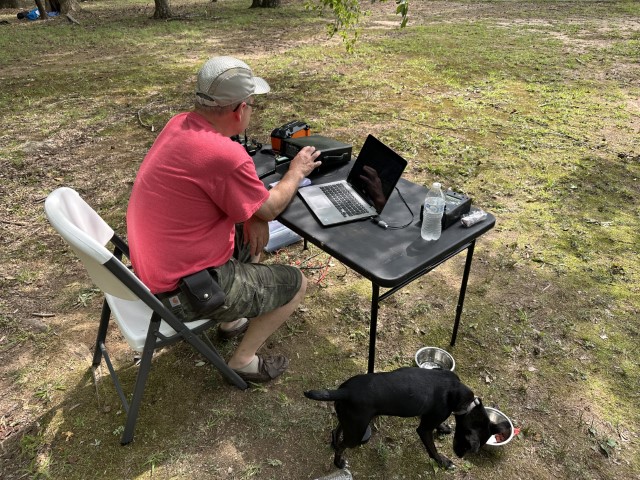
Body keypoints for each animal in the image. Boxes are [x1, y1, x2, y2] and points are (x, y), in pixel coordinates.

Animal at [304, 368, 510, 468]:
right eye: (467, 445)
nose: (460, 456)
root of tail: (344, 391)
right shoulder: (424, 429)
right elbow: (432, 450)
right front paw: (443, 462)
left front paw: (443, 428)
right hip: (356, 432)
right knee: (342, 446)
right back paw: (338, 463)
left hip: (351, 423)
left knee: (336, 431)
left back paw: (334, 443)